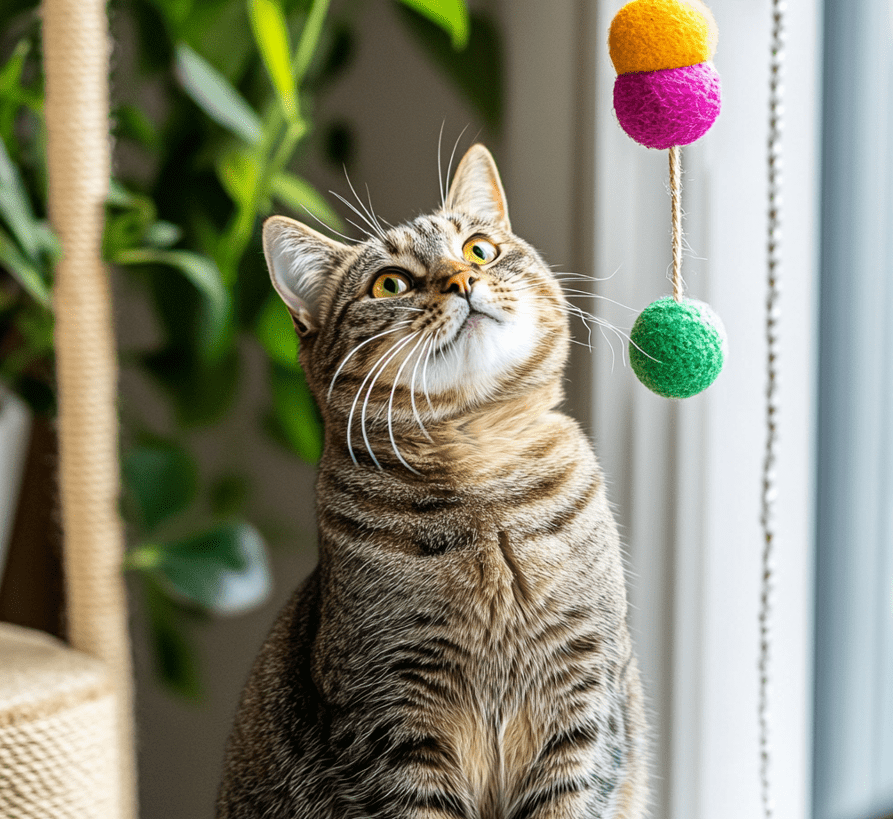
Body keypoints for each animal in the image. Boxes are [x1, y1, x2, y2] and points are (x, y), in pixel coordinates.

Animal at [216, 144, 648, 816]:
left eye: (479, 250)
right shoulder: (394, 719)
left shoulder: (583, 697)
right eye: (390, 282)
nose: (462, 280)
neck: (484, 480)